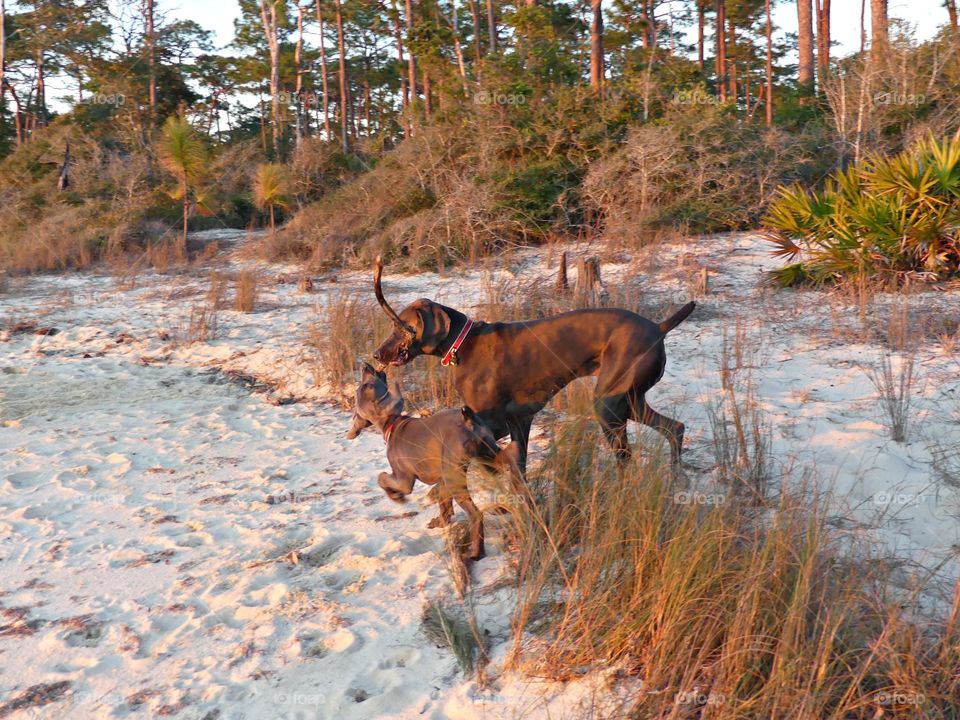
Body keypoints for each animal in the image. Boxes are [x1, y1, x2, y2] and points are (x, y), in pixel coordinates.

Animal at [344, 362, 516, 560]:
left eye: (365, 387)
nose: (366, 365)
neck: (392, 423)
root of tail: (469, 420)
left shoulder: (404, 480)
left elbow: (382, 477)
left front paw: (396, 496)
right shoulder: (443, 479)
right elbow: (444, 504)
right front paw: (440, 522)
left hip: (456, 478)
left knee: (476, 514)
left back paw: (476, 552)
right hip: (488, 459)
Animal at [372, 256, 692, 476]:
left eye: (400, 327)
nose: (376, 354)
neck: (461, 343)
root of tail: (658, 326)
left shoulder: (493, 423)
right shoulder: (518, 422)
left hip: (609, 405)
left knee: (626, 457)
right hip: (629, 400)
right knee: (674, 428)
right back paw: (676, 476)